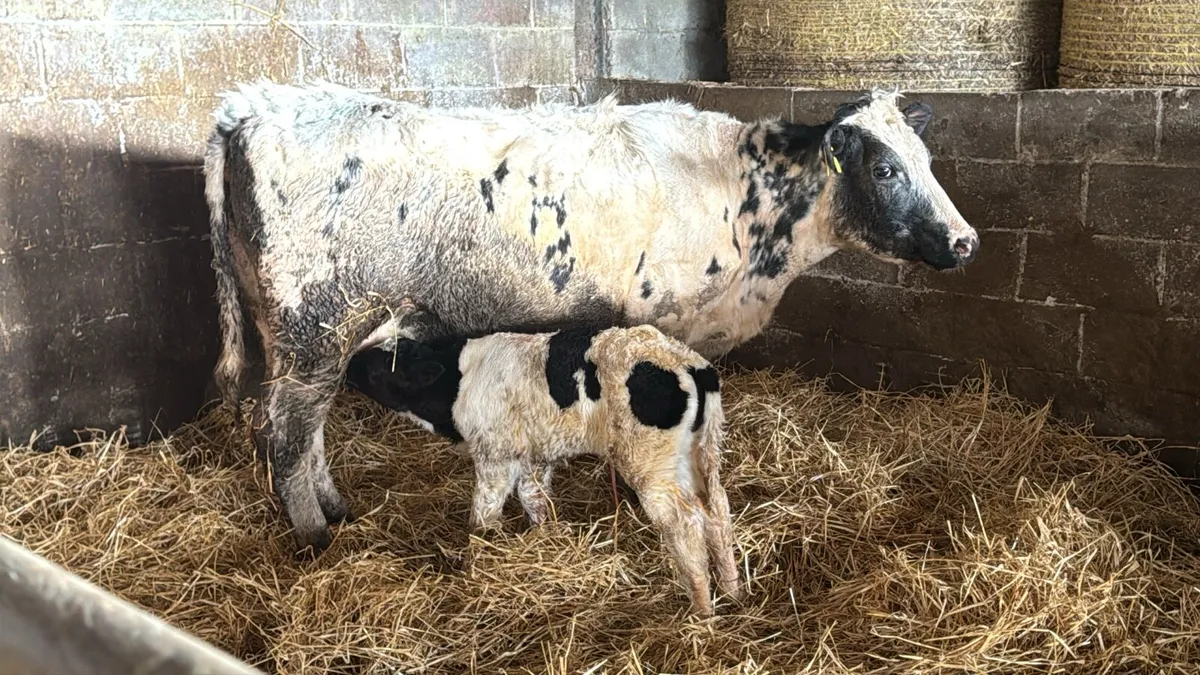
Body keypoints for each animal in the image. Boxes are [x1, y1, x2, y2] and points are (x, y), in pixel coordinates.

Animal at [203, 80, 978, 555]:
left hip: (307, 336)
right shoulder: (656, 320)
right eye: (886, 170)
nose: (966, 240)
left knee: (306, 430)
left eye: (927, 159)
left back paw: (335, 506)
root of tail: (252, 105)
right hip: (315, 327)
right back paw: (314, 533)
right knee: (286, 431)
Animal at [344, 324, 741, 617]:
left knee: (685, 522)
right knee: (717, 512)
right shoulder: (534, 455)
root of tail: (685, 362)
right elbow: (534, 498)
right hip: (704, 453)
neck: (457, 382)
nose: (348, 366)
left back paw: (701, 606)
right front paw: (546, 538)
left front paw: (480, 554)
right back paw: (732, 590)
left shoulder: (496, 455)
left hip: (653, 467)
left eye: (381, 366)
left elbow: (484, 511)